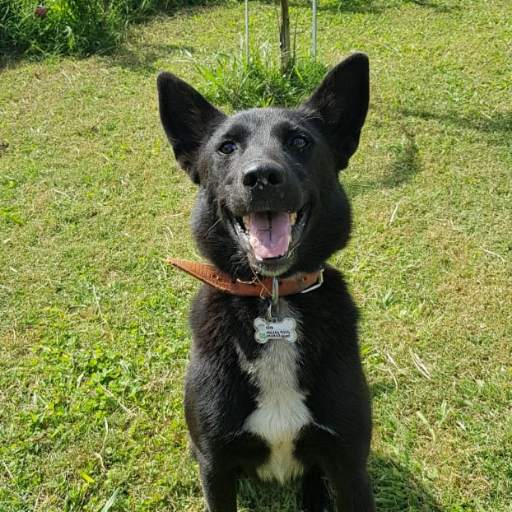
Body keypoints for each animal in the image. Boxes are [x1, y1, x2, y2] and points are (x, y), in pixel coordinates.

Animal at [158, 53, 374, 512]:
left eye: (299, 142)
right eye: (227, 147)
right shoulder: (216, 466)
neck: (273, 295)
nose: (261, 177)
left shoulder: (350, 466)